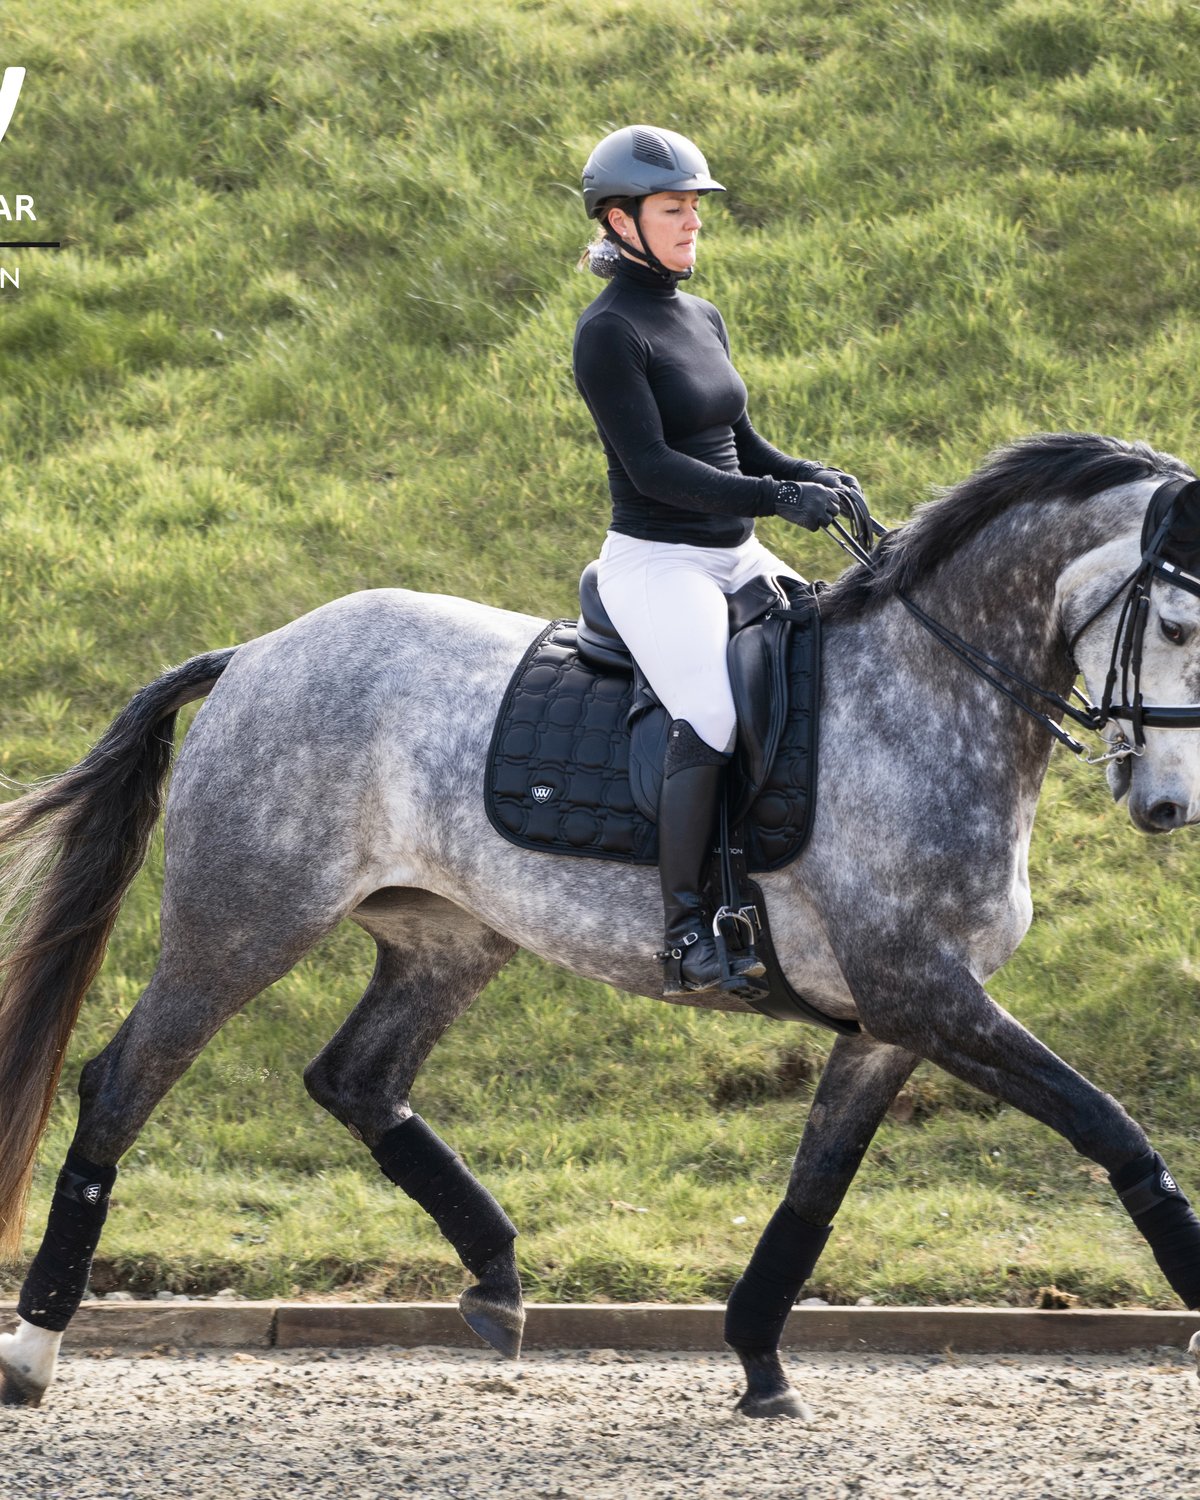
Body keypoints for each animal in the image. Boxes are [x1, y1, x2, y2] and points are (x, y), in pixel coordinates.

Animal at [4, 431, 1200, 1417]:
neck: (929, 692)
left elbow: (815, 1191)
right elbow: (1106, 1125)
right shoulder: (922, 991)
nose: (1167, 806)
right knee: (120, 1085)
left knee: (358, 1079)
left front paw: (758, 1360)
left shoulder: (892, 1022)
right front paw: (1190, 1282)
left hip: (449, 939)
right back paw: (34, 1349)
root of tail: (254, 653)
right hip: (243, 924)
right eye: (1179, 621)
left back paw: (497, 1279)